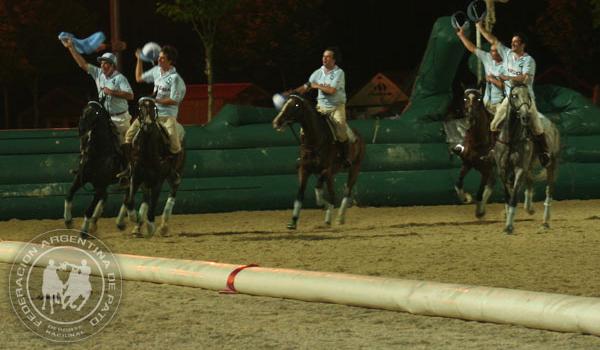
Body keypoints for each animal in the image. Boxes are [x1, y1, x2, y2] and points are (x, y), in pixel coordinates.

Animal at [272, 93, 366, 230]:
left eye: (296, 106)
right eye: (284, 104)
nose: (276, 122)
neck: (315, 140)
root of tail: (357, 135)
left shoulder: (326, 170)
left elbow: (320, 190)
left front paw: (326, 210)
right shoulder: (304, 169)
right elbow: (301, 194)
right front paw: (293, 221)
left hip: (355, 168)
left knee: (346, 191)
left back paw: (339, 218)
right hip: (334, 173)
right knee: (330, 191)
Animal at [454, 87, 496, 217]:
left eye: (478, 99)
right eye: (465, 98)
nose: (471, 117)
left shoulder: (486, 170)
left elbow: (479, 192)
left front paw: (479, 211)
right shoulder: (467, 164)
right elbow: (458, 183)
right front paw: (465, 198)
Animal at [494, 83, 560, 234]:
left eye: (528, 95)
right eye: (514, 95)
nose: (525, 117)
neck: (511, 139)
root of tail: (552, 125)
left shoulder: (519, 169)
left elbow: (513, 198)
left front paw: (509, 226)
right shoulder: (502, 170)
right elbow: (508, 196)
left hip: (550, 164)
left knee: (549, 191)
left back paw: (545, 222)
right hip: (529, 165)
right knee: (530, 181)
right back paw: (529, 208)